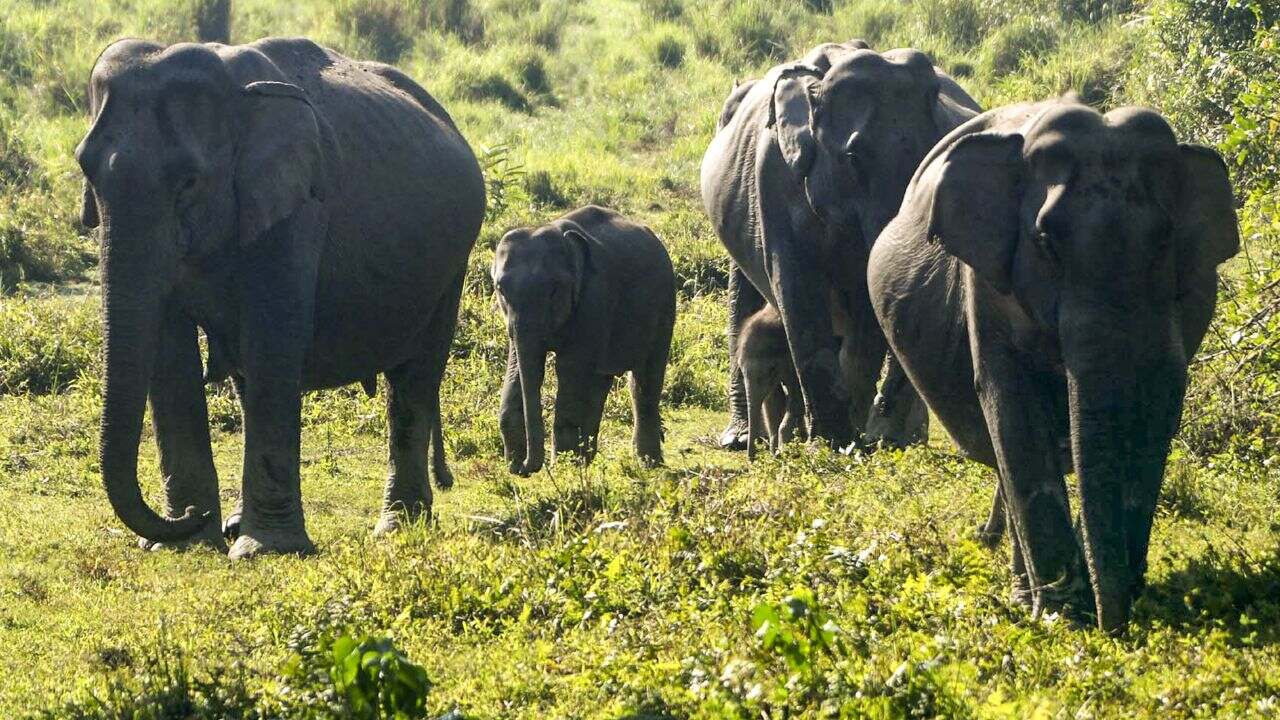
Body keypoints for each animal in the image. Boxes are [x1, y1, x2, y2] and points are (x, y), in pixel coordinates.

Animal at [75, 37, 486, 558]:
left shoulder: (299, 206)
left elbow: (273, 338)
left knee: (414, 379)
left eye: (188, 182)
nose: (189, 518)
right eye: (85, 168)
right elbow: (169, 355)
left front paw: (262, 549)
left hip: (451, 264)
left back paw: (397, 526)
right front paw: (189, 542)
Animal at [492, 205, 676, 475]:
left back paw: (649, 464)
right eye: (500, 290)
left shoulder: (594, 298)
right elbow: (521, 367)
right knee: (601, 381)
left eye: (554, 290)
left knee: (645, 380)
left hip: (665, 307)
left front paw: (565, 469)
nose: (522, 466)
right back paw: (589, 460)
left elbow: (570, 370)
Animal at [738, 304, 804, 459]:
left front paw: (784, 451)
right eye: (740, 369)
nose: (752, 459)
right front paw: (775, 454)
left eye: (772, 369)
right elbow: (772, 400)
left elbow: (796, 396)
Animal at [867, 96, 1240, 631]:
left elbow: (1160, 403)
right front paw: (1065, 616)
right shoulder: (988, 287)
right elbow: (1012, 409)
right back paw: (1026, 591)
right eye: (1045, 241)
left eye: (1164, 239)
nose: (1115, 625)